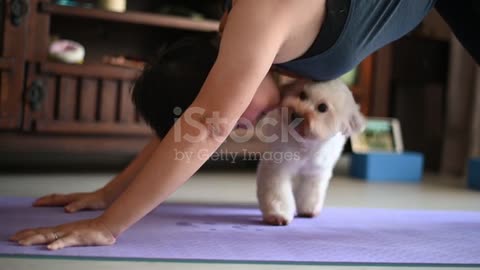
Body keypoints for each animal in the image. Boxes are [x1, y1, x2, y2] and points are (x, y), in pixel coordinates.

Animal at [256, 78, 366, 226]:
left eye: (322, 108)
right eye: (302, 95)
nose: (296, 114)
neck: (305, 144)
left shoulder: (316, 173)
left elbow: (310, 193)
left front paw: (307, 210)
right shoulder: (277, 168)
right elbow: (278, 195)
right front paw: (278, 215)